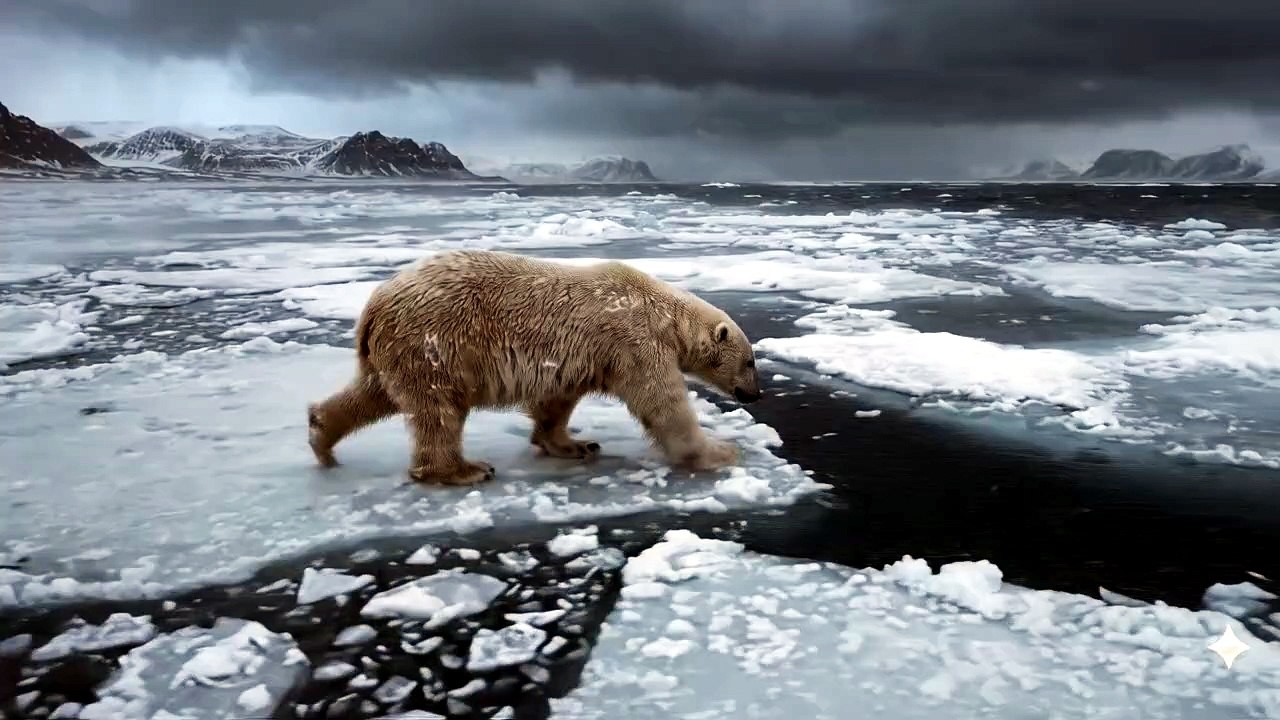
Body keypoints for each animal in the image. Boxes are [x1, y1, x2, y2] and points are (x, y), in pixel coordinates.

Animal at [306, 249, 763, 485]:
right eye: (751, 360)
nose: (756, 393)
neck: (663, 313)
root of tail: (375, 305)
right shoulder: (634, 340)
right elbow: (662, 402)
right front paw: (719, 451)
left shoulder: (583, 356)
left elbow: (555, 401)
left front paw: (574, 444)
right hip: (434, 341)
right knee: (438, 409)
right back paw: (463, 470)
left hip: (397, 351)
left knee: (374, 393)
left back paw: (321, 437)